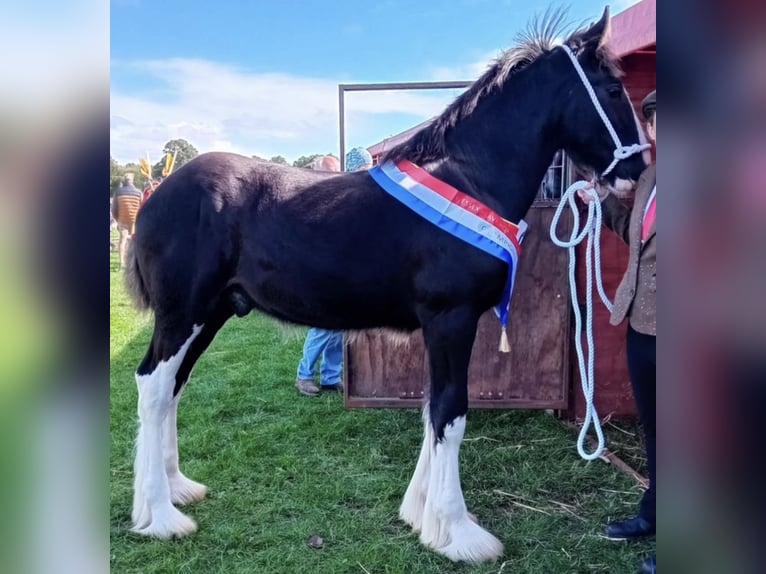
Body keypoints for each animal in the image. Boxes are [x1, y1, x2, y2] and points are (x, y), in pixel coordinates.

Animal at [124, 7, 648, 563]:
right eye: (613, 89)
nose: (638, 169)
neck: (469, 181)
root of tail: (158, 196)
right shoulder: (451, 320)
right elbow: (451, 414)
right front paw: (458, 532)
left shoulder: (439, 328)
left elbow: (431, 410)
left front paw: (422, 516)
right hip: (182, 315)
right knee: (153, 387)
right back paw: (161, 516)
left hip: (211, 314)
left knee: (173, 388)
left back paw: (180, 487)